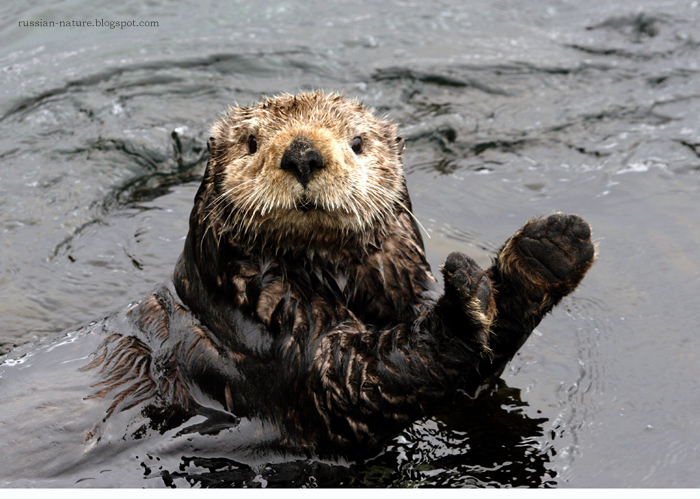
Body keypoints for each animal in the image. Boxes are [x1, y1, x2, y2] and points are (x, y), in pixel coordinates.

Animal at [0, 91, 595, 481]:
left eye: (357, 141)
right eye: (251, 141)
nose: (303, 152)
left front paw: (550, 250)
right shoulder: (268, 351)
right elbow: (361, 380)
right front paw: (476, 291)